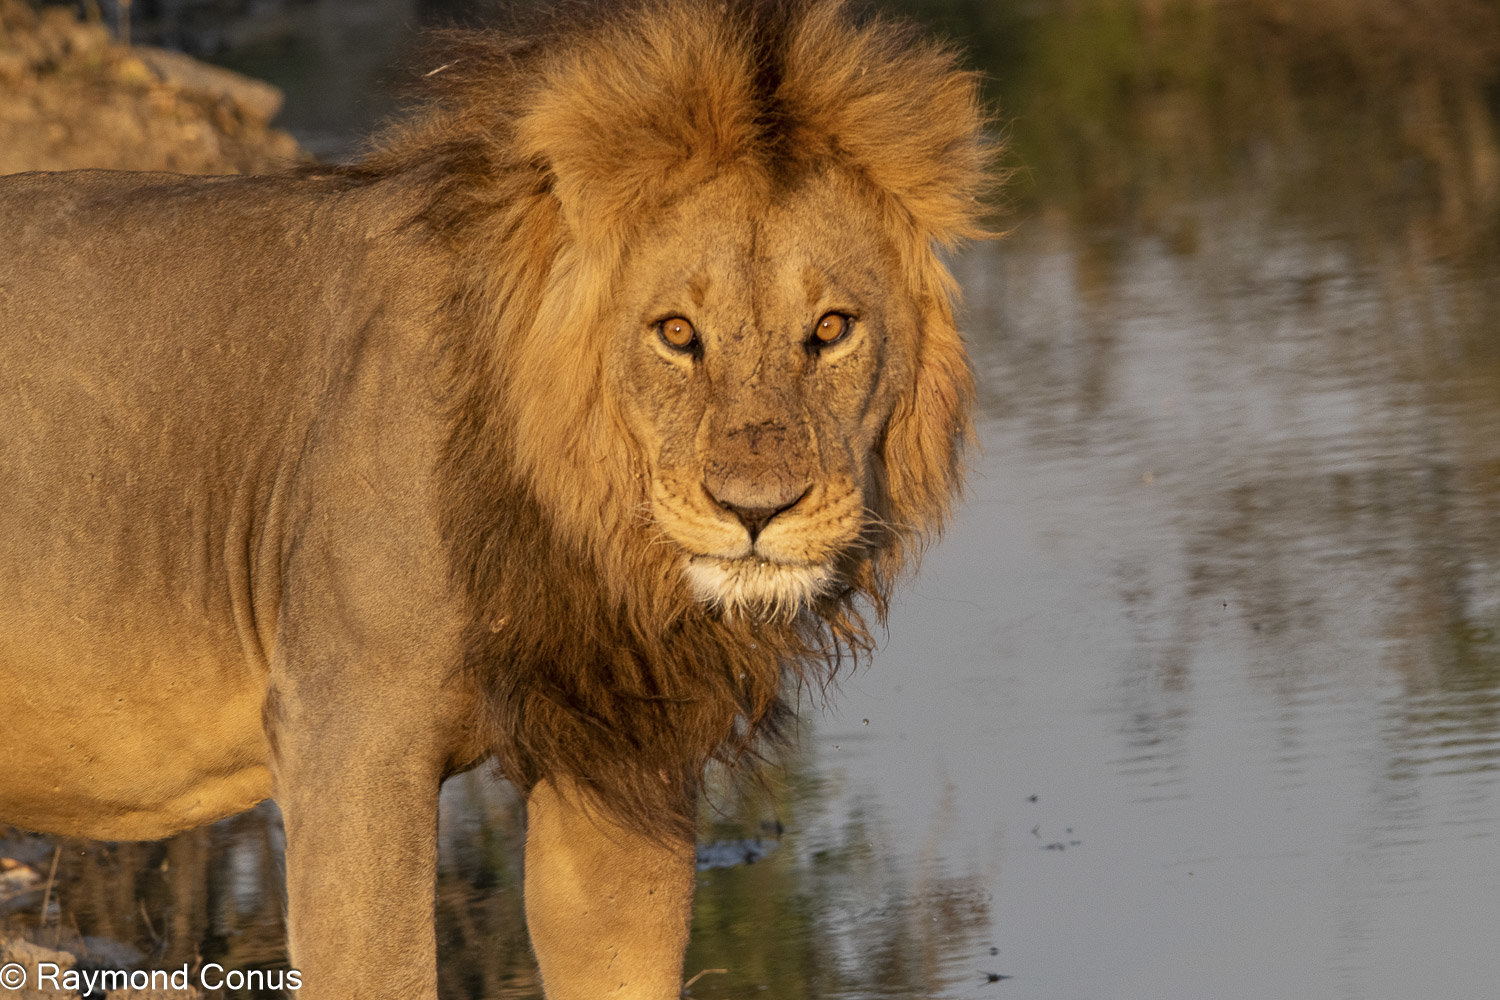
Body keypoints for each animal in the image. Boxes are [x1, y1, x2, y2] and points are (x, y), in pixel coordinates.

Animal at [0, 1, 989, 997]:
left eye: (831, 329)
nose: (756, 511)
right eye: (677, 333)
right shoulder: (348, 741)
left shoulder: (619, 757)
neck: (584, 531)